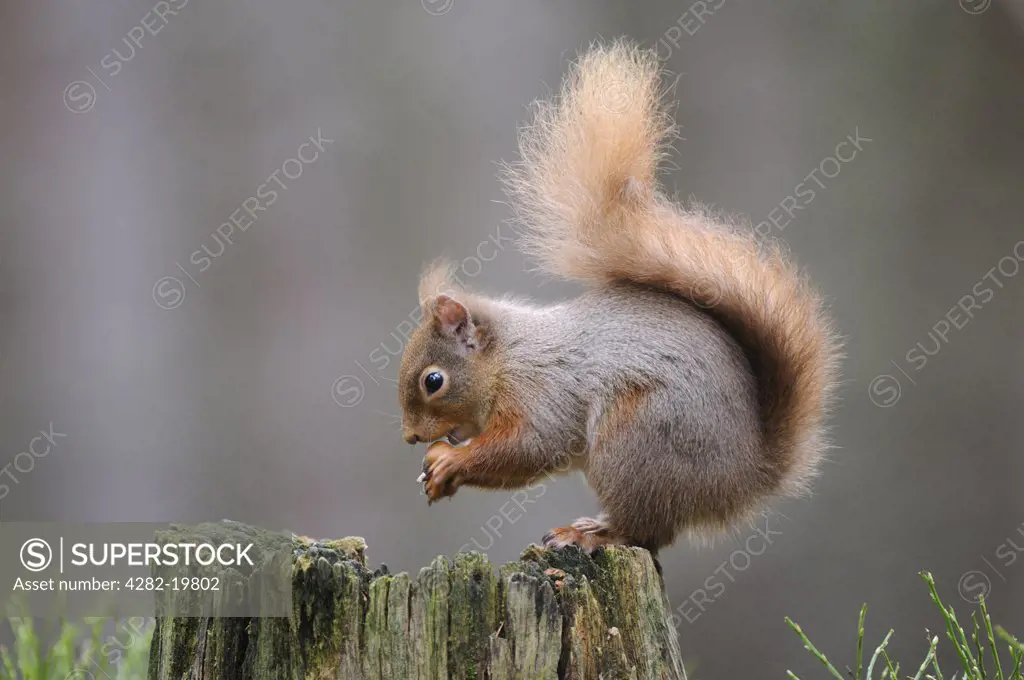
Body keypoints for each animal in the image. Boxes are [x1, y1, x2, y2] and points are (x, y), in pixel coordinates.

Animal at [395, 41, 835, 553]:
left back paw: (591, 534)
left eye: (434, 381)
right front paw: (436, 472)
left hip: (635, 438)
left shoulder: (541, 392)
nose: (411, 438)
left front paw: (451, 462)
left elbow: (529, 448)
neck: (507, 359)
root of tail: (744, 478)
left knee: (646, 530)